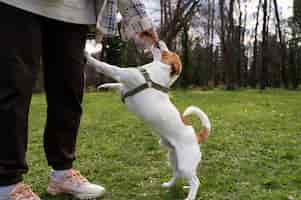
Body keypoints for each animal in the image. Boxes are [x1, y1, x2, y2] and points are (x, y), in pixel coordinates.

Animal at [85, 40, 211, 200]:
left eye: (168, 52)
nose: (159, 41)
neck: (154, 73)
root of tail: (197, 137)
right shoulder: (124, 86)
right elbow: (116, 85)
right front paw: (104, 86)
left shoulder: (123, 74)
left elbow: (106, 66)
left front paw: (87, 55)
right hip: (173, 158)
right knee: (178, 174)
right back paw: (169, 185)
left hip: (185, 164)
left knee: (195, 181)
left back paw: (190, 196)